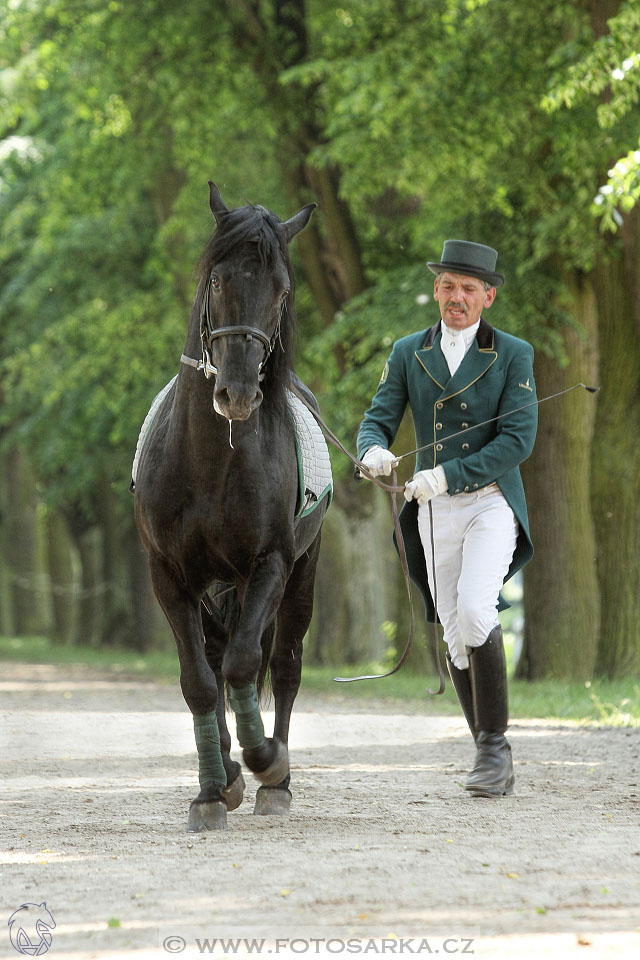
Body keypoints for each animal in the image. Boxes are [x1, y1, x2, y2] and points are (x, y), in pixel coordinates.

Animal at [132, 184, 328, 828]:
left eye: (282, 291)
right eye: (217, 279)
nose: (237, 394)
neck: (211, 462)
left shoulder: (269, 564)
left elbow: (247, 663)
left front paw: (263, 760)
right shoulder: (169, 576)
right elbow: (199, 678)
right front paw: (212, 789)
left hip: (301, 574)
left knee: (282, 664)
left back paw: (276, 780)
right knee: (218, 658)